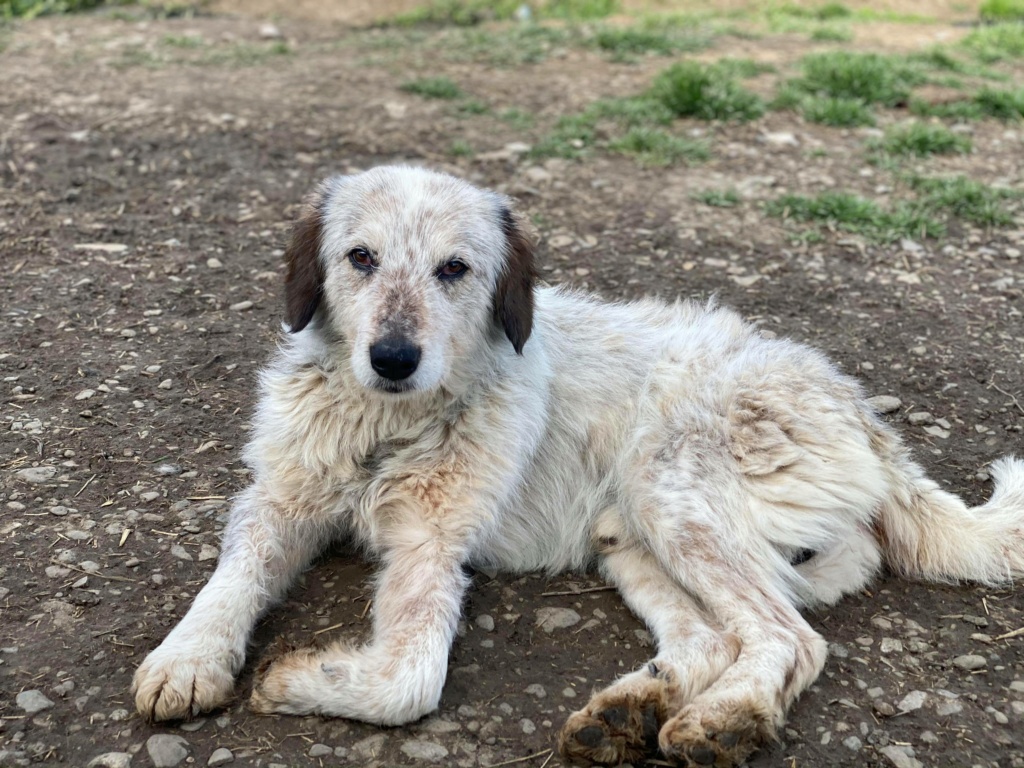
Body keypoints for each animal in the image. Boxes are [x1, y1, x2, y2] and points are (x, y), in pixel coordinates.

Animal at [136, 165, 1024, 765]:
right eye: (360, 258)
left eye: (454, 269)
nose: (392, 358)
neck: (386, 428)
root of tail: (861, 408)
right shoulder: (278, 501)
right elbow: (232, 580)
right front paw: (188, 657)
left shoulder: (430, 550)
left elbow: (408, 680)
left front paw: (291, 680)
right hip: (630, 538)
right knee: (713, 639)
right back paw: (634, 709)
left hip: (669, 491)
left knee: (791, 639)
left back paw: (723, 720)